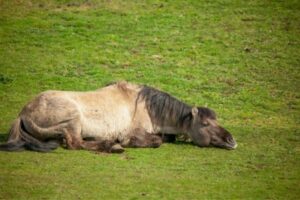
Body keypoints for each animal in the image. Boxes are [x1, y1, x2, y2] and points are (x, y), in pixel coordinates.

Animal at [0, 81, 237, 153]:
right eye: (205, 123)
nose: (231, 140)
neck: (146, 106)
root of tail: (24, 112)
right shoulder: (136, 133)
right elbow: (156, 141)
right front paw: (123, 142)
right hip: (73, 118)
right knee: (75, 143)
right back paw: (111, 146)